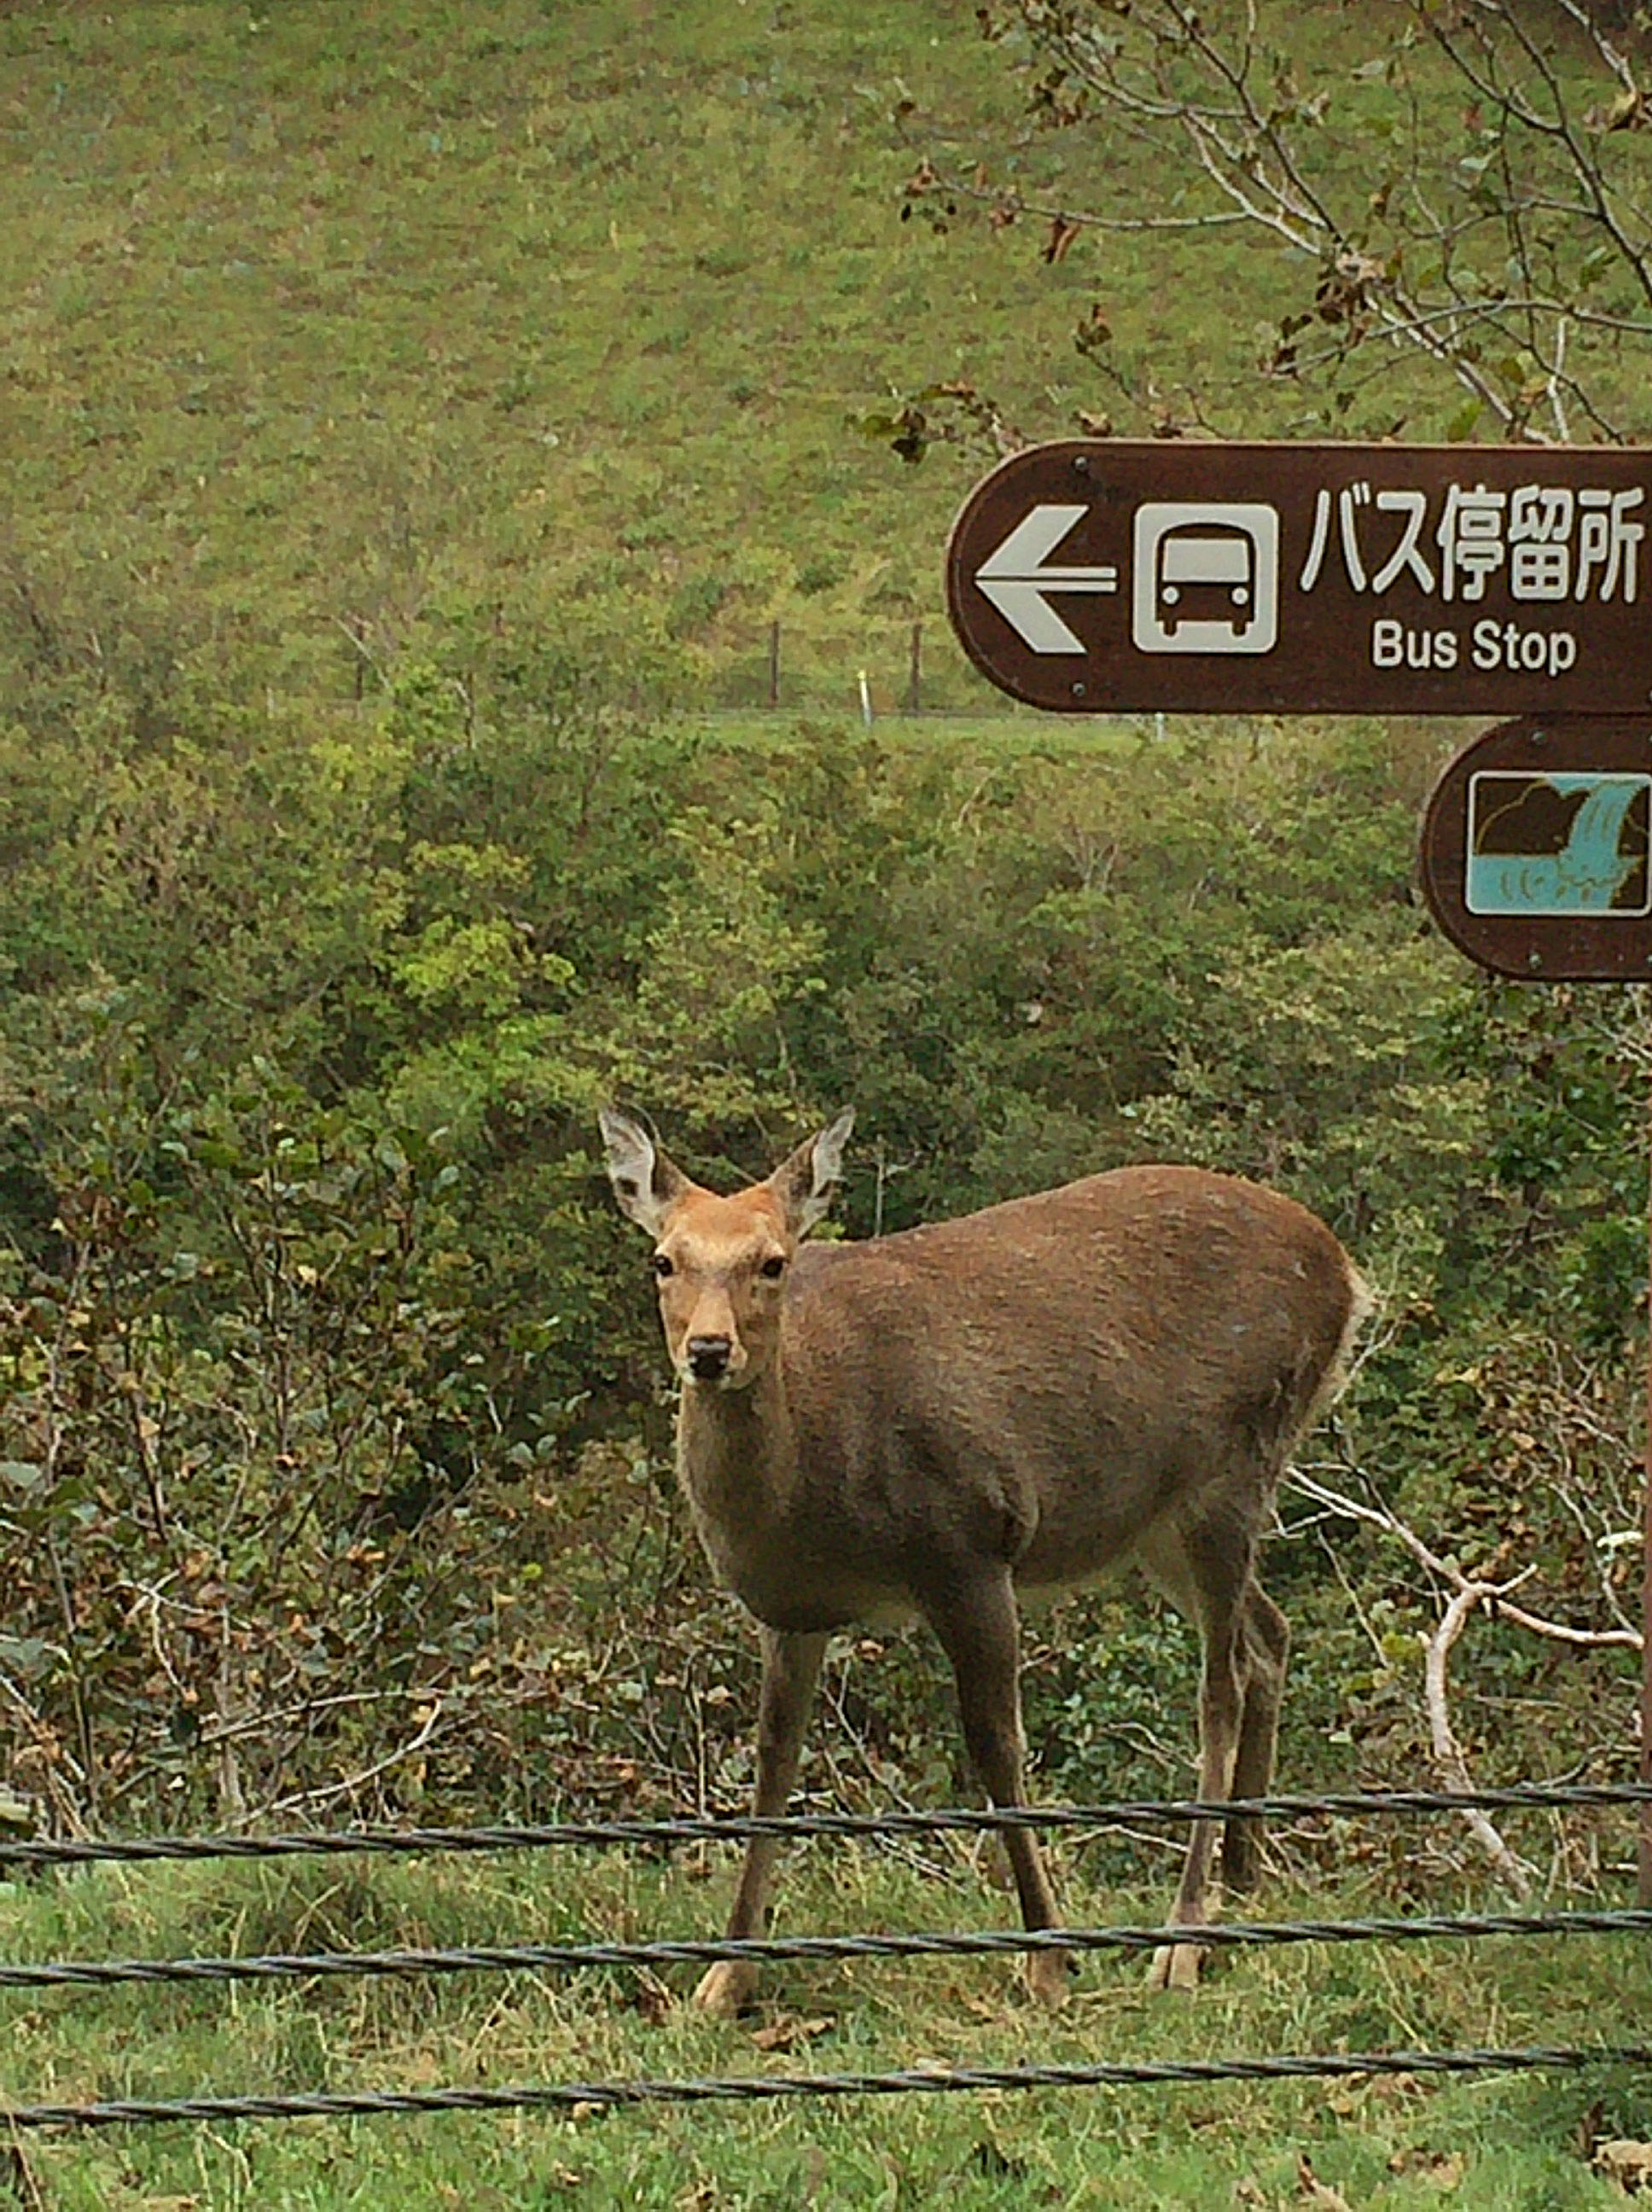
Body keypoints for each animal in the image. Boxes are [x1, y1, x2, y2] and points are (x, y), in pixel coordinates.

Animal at [599, 1105, 1369, 2013]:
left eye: (773, 1262)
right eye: (664, 1260)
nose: (710, 1351)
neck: (812, 1486)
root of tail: (1344, 1269)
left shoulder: (971, 1542)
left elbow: (996, 1745)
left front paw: (1047, 1957)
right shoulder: (792, 1609)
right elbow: (772, 1766)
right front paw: (726, 1974)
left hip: (1234, 1461)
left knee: (1224, 1685)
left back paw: (1183, 1938)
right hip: (1160, 1522)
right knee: (1270, 1635)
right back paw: (1244, 1878)